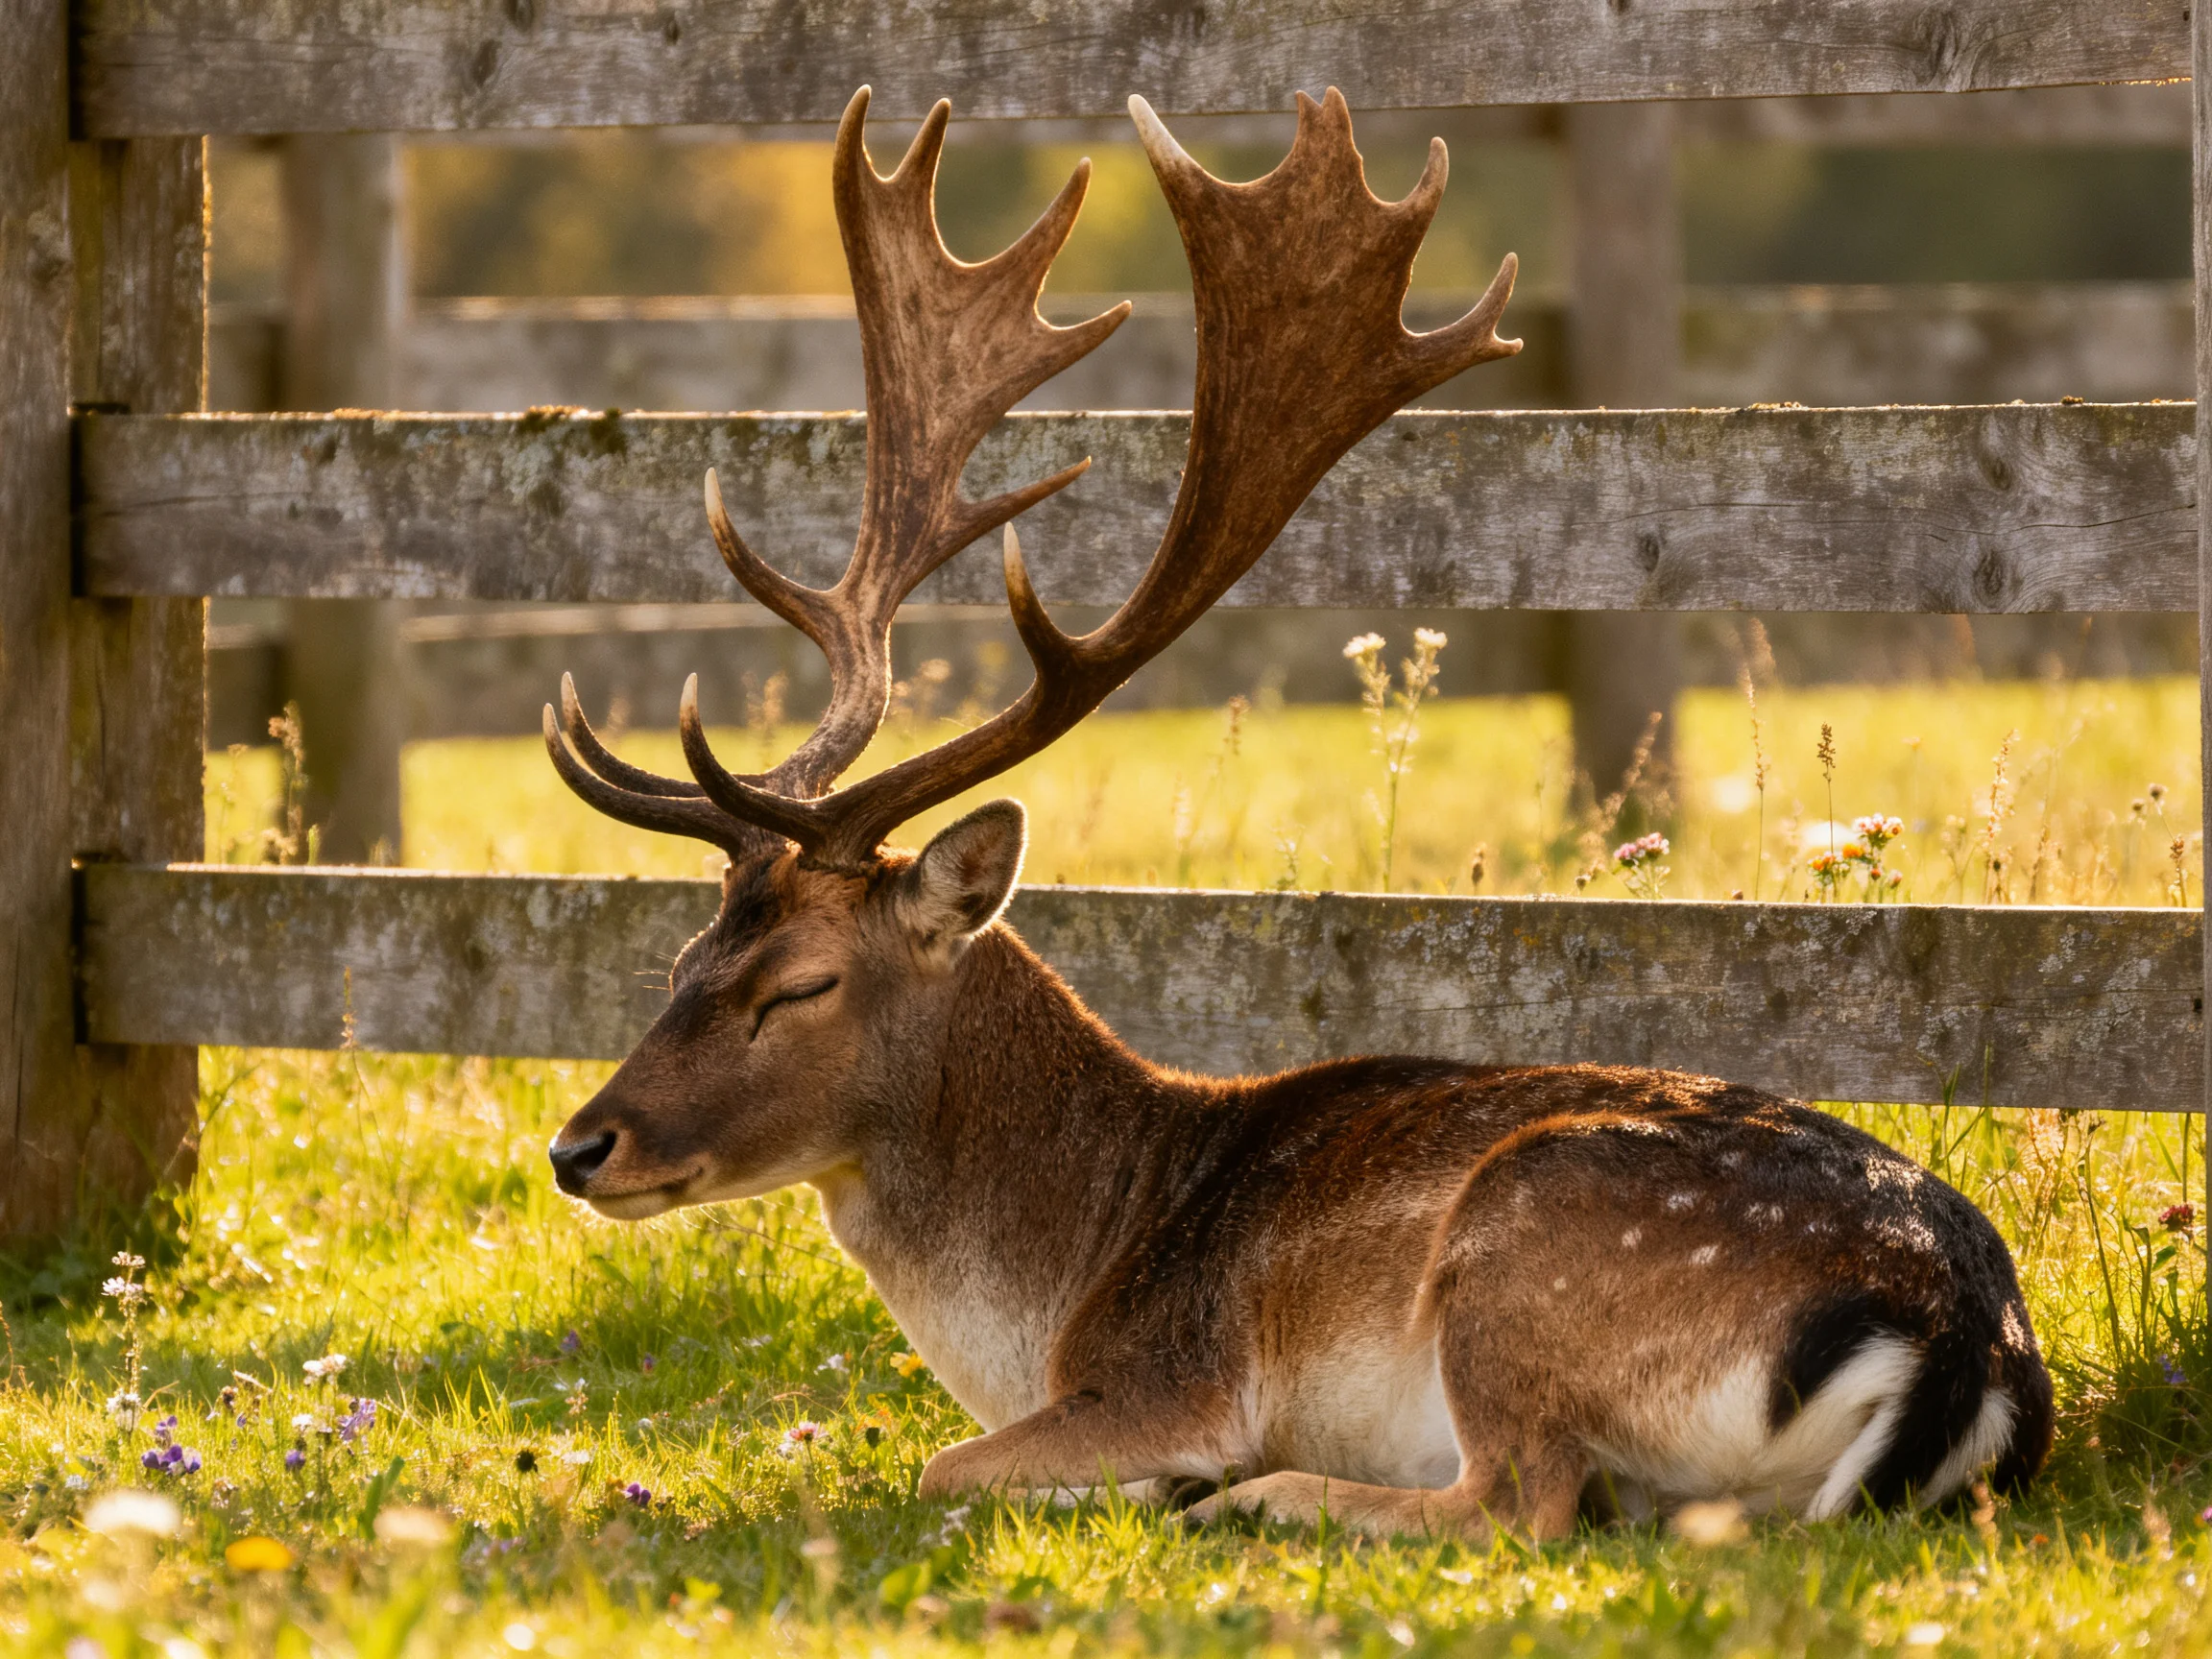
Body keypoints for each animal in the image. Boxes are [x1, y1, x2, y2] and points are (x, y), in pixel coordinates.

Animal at [542, 85, 2053, 1540]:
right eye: (681, 961)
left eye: (799, 985)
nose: (576, 1146)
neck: (1067, 1286)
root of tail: (1964, 1338)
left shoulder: (1171, 1376)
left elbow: (941, 1465)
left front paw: (1164, 1484)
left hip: (1518, 1255)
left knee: (1523, 1504)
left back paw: (1254, 1500)